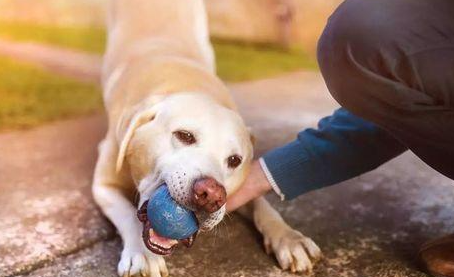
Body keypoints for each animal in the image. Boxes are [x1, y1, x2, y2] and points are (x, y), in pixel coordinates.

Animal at [92, 0, 320, 274]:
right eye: (184, 135)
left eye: (234, 161)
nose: (211, 194)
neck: (184, 82)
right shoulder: (104, 185)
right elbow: (126, 213)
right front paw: (142, 253)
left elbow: (263, 205)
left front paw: (289, 237)